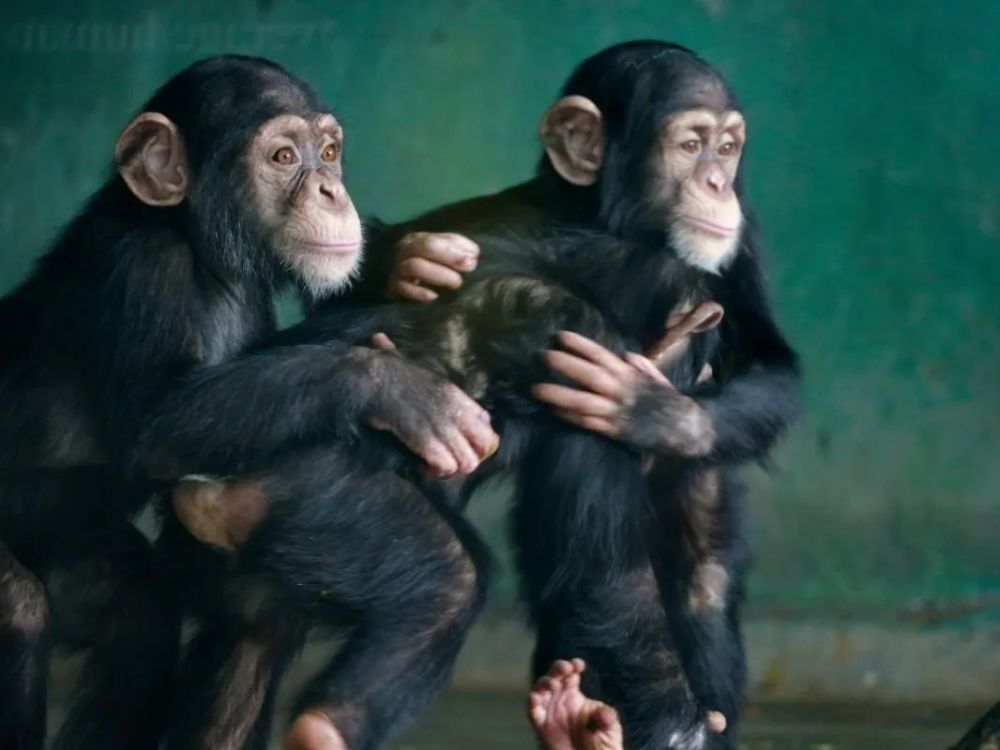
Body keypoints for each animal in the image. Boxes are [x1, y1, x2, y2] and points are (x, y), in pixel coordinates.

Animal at [0, 55, 496, 750]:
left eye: (329, 152)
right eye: (283, 157)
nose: (331, 191)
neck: (199, 247)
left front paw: (408, 260)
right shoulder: (142, 270)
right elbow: (159, 424)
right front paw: (395, 387)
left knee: (143, 619)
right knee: (19, 611)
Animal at [166, 41, 796, 750]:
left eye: (727, 148)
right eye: (691, 146)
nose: (718, 183)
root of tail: (206, 499)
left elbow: (771, 364)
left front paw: (660, 413)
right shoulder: (583, 364)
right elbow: (606, 576)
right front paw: (677, 729)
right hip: (321, 508)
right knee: (448, 582)